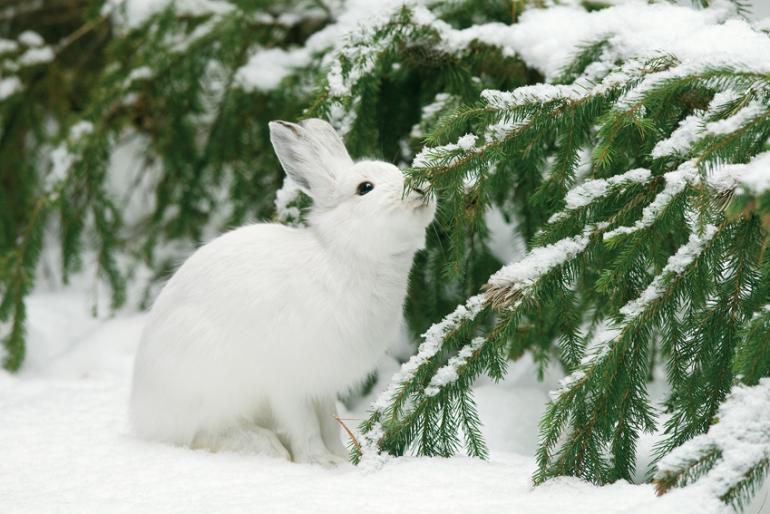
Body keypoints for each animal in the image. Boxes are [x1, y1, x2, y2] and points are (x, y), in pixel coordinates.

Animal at [129, 118, 436, 466]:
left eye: (397, 170)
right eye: (365, 188)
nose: (420, 187)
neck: (346, 257)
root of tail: (143, 411)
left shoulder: (322, 385)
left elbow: (329, 423)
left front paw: (341, 459)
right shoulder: (288, 384)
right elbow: (305, 427)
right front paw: (320, 462)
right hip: (209, 384)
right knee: (202, 434)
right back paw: (264, 446)